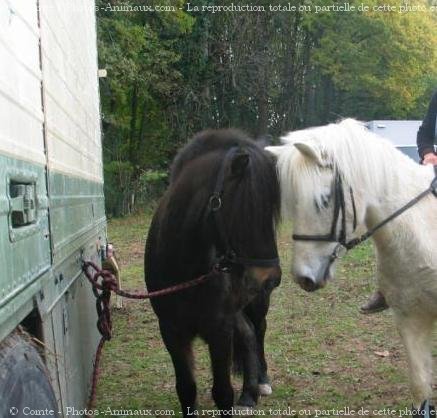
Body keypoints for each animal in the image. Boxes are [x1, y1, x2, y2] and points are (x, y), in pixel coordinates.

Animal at [143, 130, 280, 414]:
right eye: (246, 209)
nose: (270, 278)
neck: (184, 265)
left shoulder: (219, 329)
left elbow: (223, 393)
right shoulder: (171, 331)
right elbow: (186, 390)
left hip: (255, 304)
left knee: (259, 329)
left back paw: (261, 382)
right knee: (248, 334)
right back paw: (249, 393)